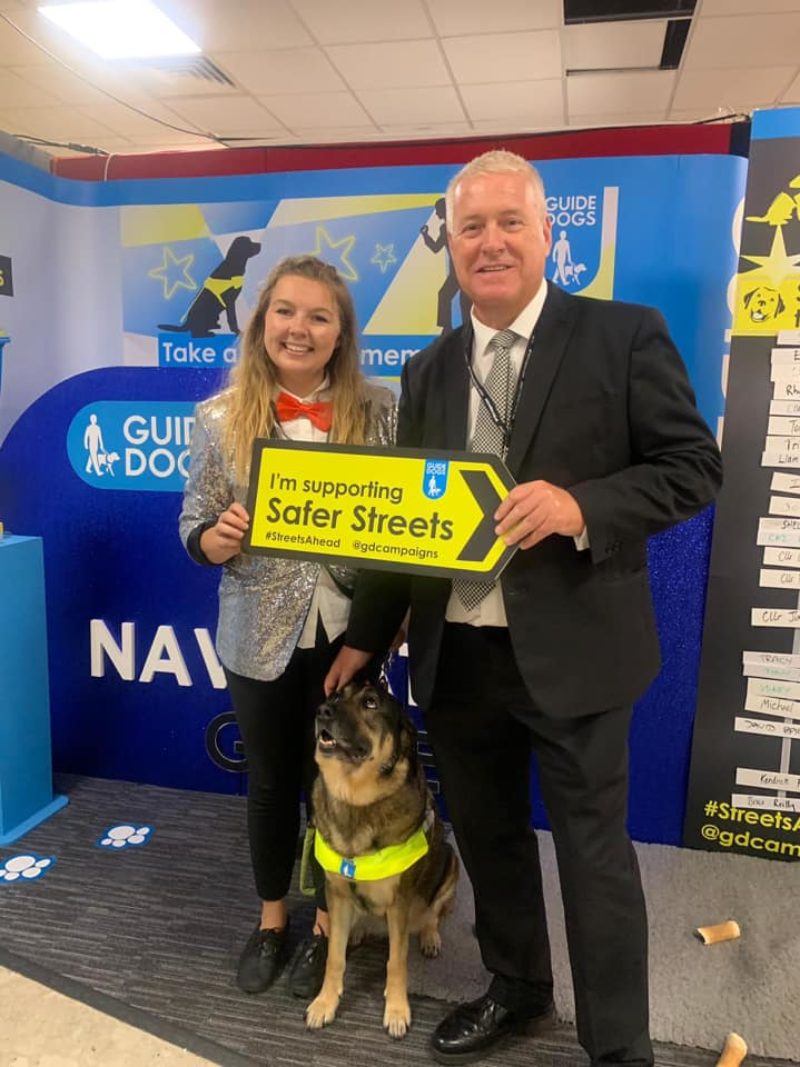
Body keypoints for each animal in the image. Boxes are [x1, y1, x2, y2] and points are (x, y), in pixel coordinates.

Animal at [305, 678, 456, 1037]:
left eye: (371, 703)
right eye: (336, 696)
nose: (322, 710)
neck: (357, 801)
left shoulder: (399, 902)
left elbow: (396, 961)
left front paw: (397, 1010)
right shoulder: (337, 893)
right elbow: (334, 958)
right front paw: (325, 1002)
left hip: (450, 865)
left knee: (432, 913)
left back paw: (429, 936)